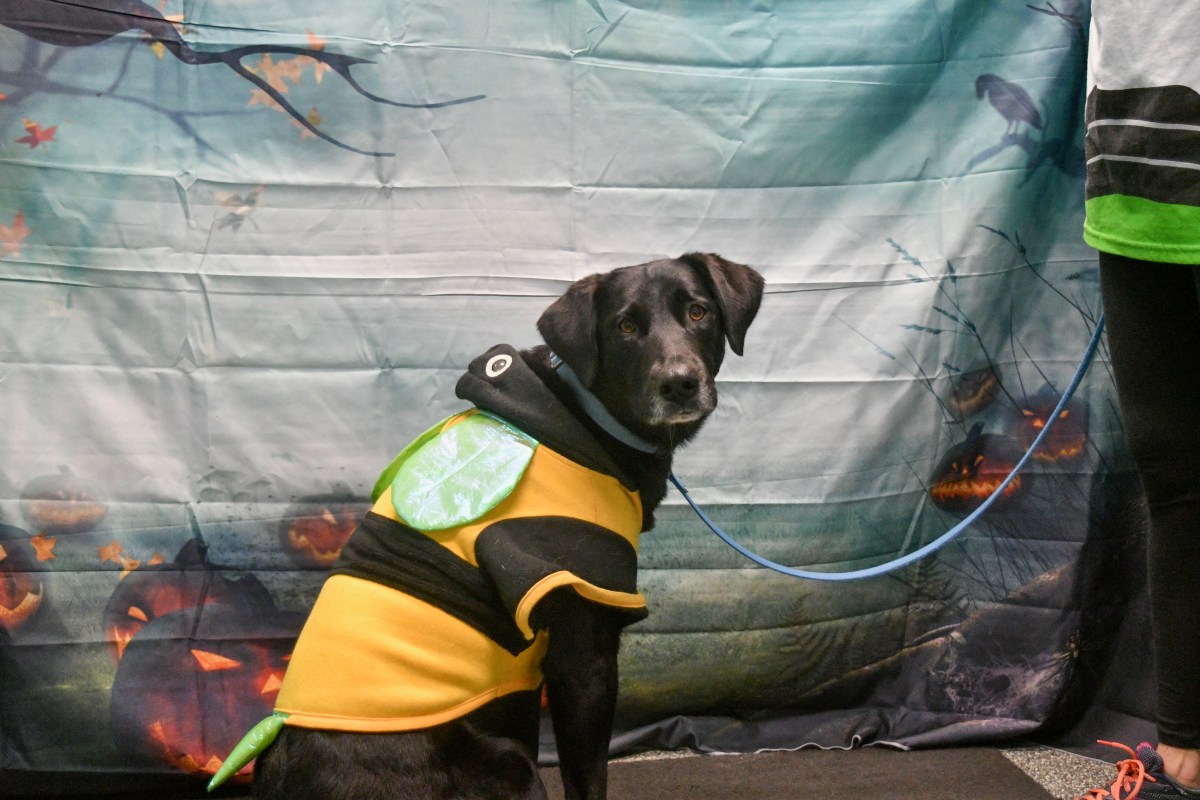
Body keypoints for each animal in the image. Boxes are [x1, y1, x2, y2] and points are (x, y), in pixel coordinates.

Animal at [234, 252, 763, 800]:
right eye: (625, 327)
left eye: (698, 312)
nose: (679, 383)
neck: (586, 413)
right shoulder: (584, 653)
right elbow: (587, 777)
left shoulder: (521, 685)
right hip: (510, 764)